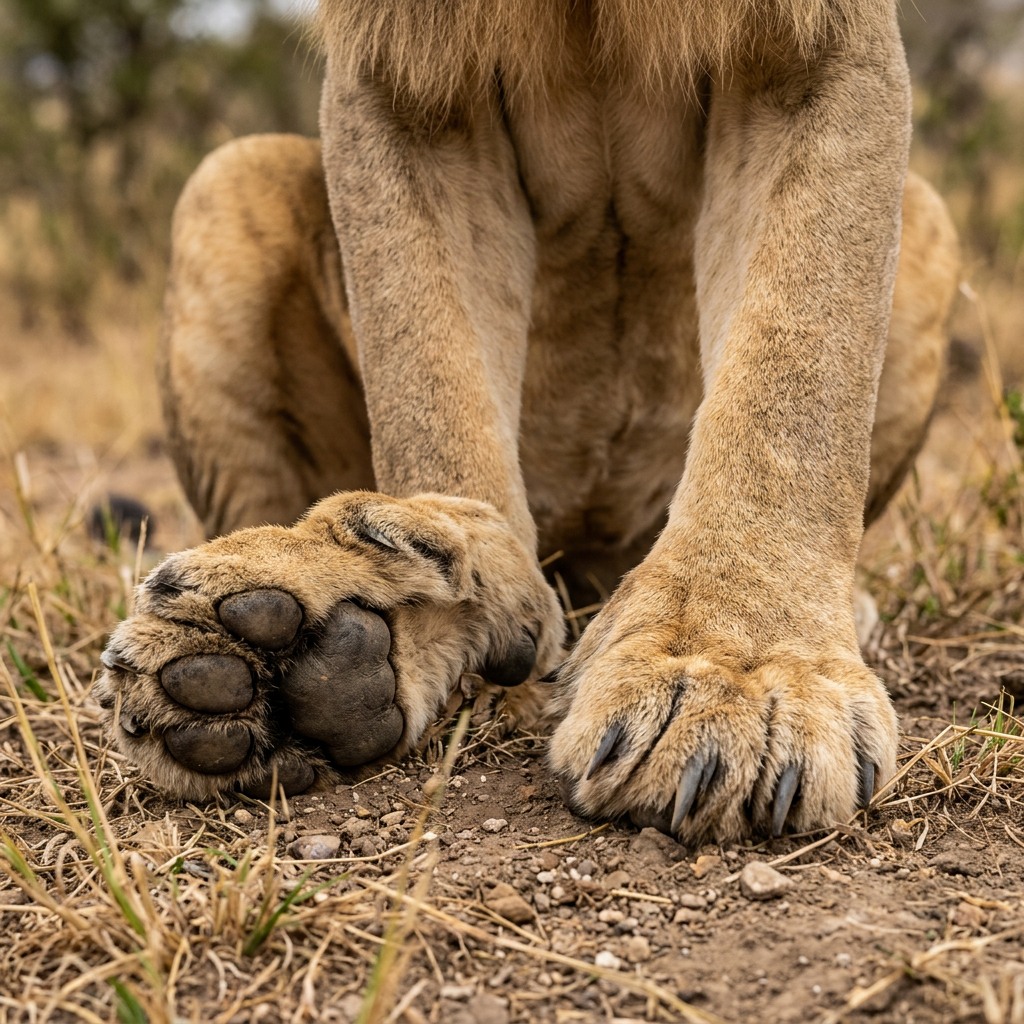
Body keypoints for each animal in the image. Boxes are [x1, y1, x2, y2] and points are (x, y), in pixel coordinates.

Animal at [96, 0, 960, 843]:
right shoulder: (411, 76)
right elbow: (427, 375)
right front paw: (450, 613)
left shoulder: (808, 48)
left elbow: (798, 369)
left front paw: (737, 675)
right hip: (222, 178)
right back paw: (269, 651)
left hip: (931, 215)